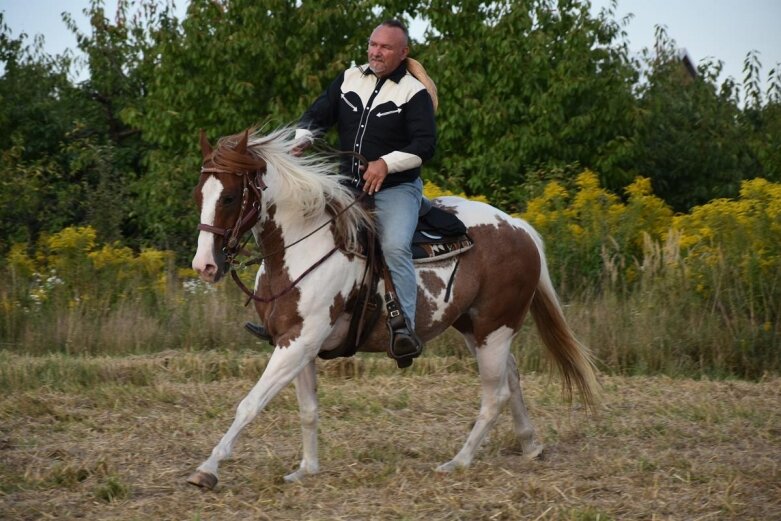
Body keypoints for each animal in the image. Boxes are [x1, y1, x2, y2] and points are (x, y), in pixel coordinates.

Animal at [187, 125, 596, 488]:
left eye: (229, 197)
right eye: (199, 196)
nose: (204, 265)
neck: (306, 245)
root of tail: (518, 227)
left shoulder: (300, 341)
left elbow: (250, 403)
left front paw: (207, 470)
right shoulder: (293, 341)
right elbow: (308, 409)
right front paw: (306, 469)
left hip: (493, 329)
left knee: (495, 395)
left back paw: (458, 462)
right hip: (476, 329)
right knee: (511, 377)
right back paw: (530, 444)